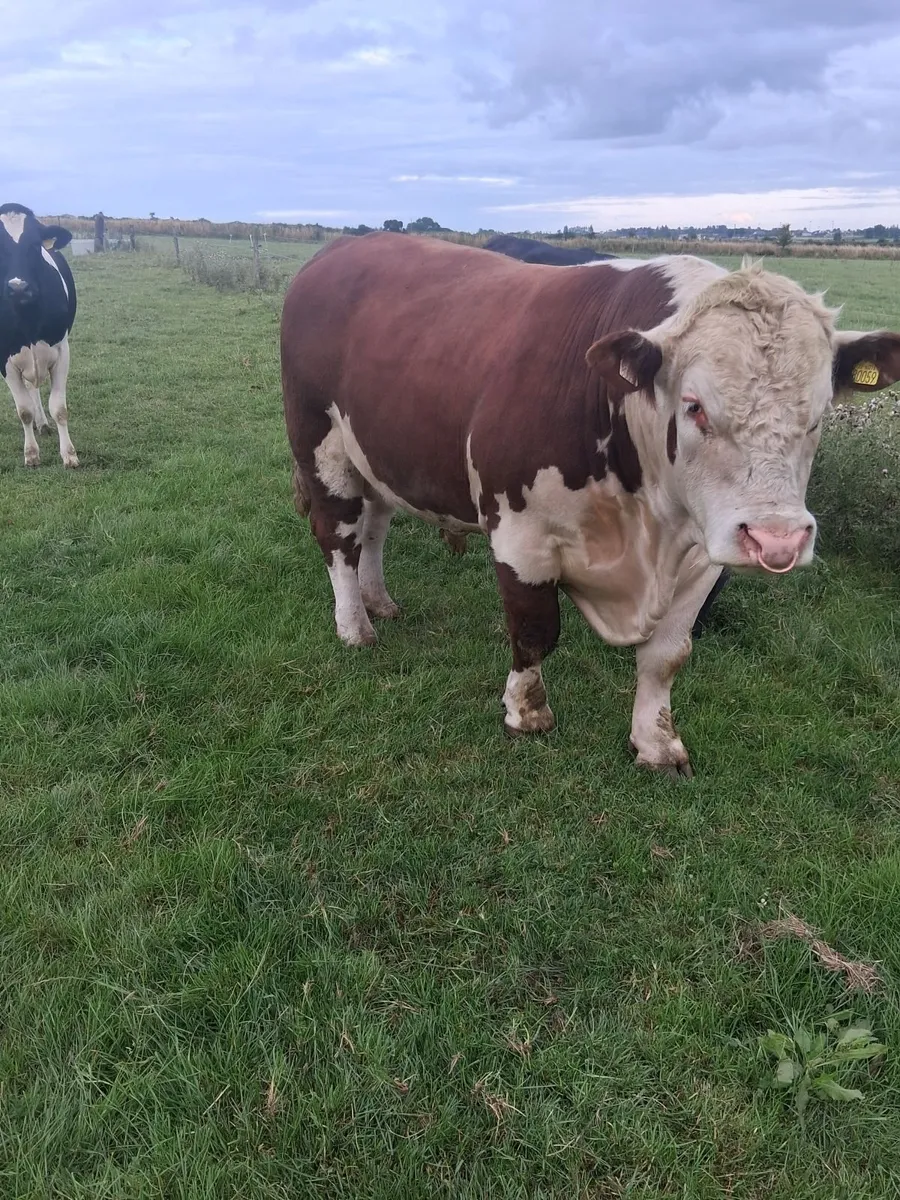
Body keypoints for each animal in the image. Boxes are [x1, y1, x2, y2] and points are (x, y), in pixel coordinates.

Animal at [0, 204, 78, 468]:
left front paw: (69, 454)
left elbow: (59, 408)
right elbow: (24, 410)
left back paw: (43, 423)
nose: (18, 287)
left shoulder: (62, 351)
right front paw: (31, 454)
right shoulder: (4, 360)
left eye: (35, 245)